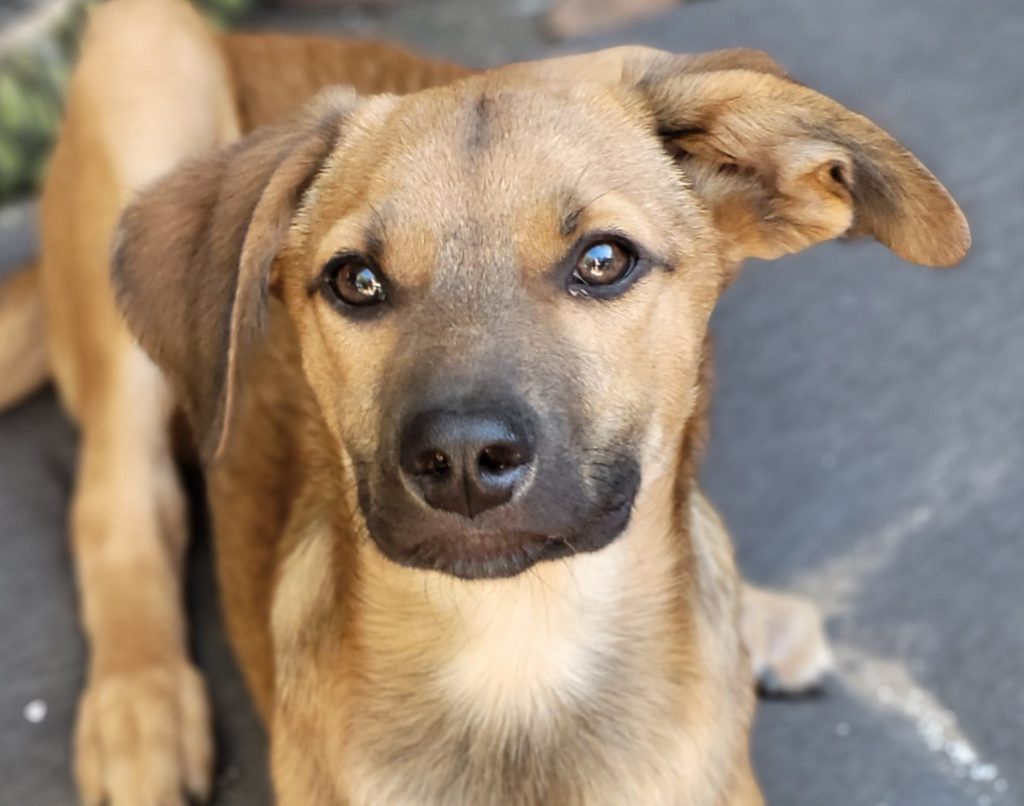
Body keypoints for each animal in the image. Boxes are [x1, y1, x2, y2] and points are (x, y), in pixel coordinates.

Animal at [0, 0, 969, 802]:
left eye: (604, 261)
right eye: (355, 281)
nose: (462, 460)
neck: (517, 652)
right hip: (143, 51)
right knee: (120, 500)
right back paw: (142, 704)